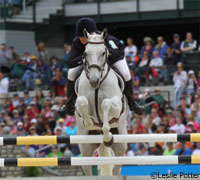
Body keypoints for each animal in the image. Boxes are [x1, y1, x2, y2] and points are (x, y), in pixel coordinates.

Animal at [74, 28, 127, 176]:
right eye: (85, 53)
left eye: (104, 52)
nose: (93, 81)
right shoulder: (79, 102)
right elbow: (82, 102)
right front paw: (89, 122)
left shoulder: (117, 105)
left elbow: (105, 104)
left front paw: (107, 135)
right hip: (85, 148)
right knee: (87, 169)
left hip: (121, 144)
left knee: (117, 168)